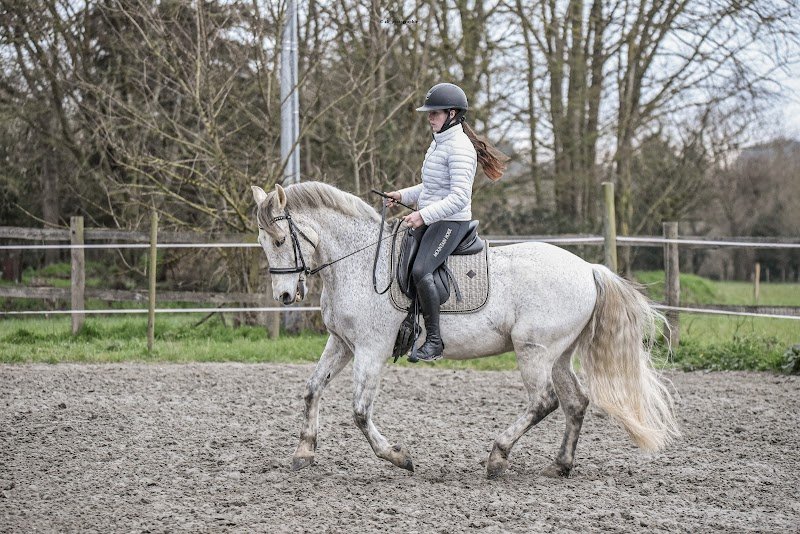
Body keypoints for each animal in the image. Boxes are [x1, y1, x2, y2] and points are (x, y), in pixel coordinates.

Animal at [251, 181, 679, 479]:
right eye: (263, 242)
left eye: (280, 240)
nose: (284, 295)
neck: (357, 263)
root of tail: (589, 269)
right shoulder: (341, 343)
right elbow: (312, 389)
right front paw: (304, 452)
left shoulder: (371, 349)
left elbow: (359, 412)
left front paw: (399, 458)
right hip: (558, 354)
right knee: (575, 403)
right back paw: (559, 466)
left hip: (533, 350)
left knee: (544, 402)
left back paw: (498, 457)